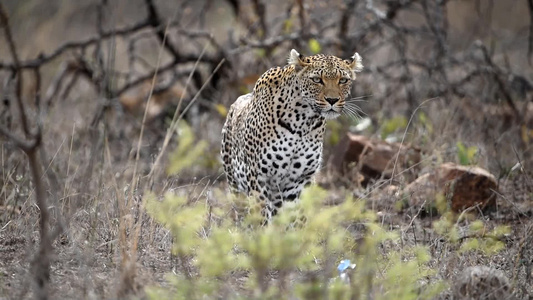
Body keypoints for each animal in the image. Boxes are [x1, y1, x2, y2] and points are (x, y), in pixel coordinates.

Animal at [219, 48, 362, 219]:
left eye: (343, 80)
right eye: (317, 80)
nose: (332, 100)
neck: (303, 122)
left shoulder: (299, 180)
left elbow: (297, 216)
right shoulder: (258, 178)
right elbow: (260, 218)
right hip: (235, 185)